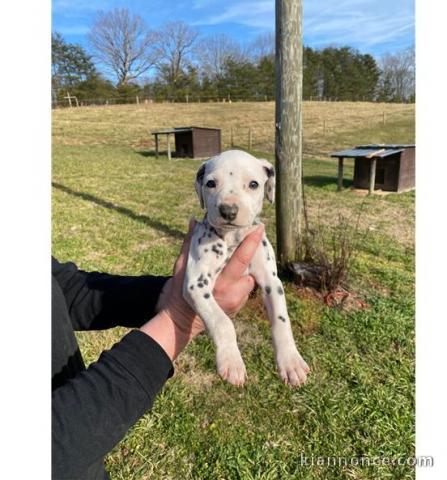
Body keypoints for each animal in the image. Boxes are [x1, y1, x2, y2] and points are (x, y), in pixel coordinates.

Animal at [184, 150, 310, 386]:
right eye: (211, 183)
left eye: (253, 184)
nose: (228, 210)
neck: (233, 240)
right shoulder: (196, 284)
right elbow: (222, 322)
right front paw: (231, 361)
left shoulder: (272, 282)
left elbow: (281, 321)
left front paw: (291, 361)